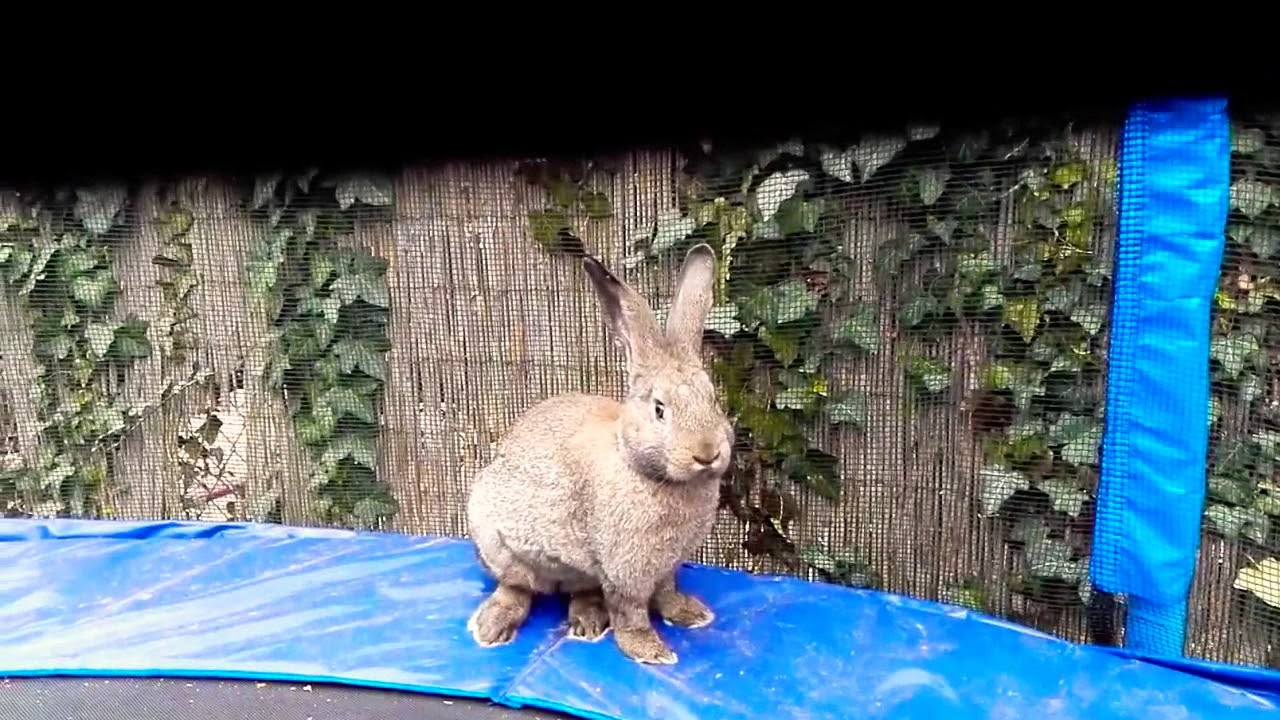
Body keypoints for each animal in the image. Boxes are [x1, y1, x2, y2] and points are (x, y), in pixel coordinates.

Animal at [464, 242, 735, 665]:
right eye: (660, 409)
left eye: (713, 400)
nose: (707, 453)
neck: (643, 469)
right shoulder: (626, 570)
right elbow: (631, 611)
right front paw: (649, 651)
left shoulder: (666, 567)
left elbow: (667, 592)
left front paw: (690, 614)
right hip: (495, 541)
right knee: (517, 587)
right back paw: (492, 627)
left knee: (580, 592)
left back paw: (588, 621)